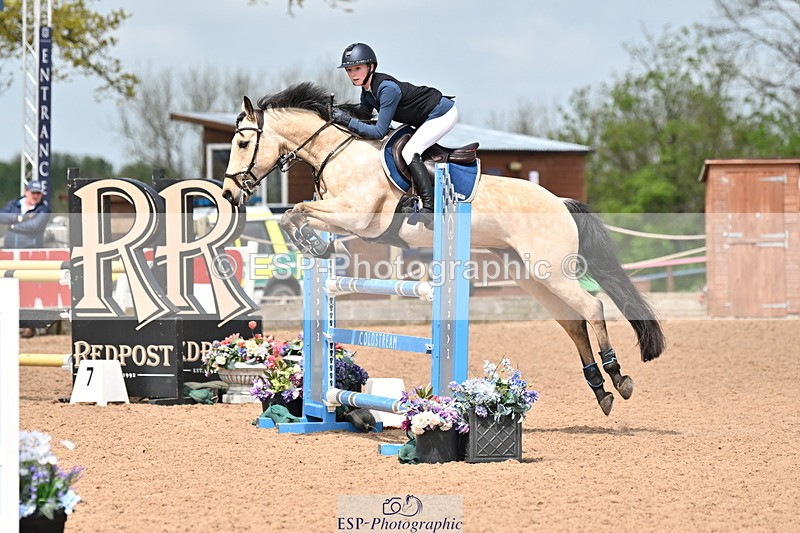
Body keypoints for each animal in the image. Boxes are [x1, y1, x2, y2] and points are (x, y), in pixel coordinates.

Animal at [221, 82, 665, 416]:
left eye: (242, 143)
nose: (227, 194)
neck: (338, 153)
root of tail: (561, 202)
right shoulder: (342, 217)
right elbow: (295, 214)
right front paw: (312, 244)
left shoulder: (359, 218)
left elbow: (296, 212)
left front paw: (307, 241)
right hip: (531, 274)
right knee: (573, 323)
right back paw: (600, 390)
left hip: (552, 269)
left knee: (592, 308)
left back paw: (618, 378)